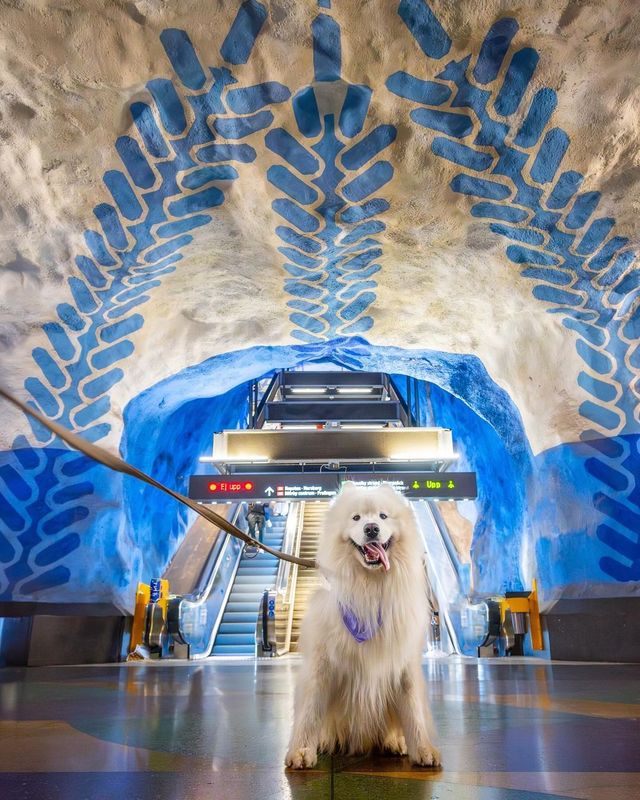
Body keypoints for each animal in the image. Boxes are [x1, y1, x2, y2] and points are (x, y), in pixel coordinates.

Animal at [284, 482, 440, 768]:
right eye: (356, 518)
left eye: (383, 516)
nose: (371, 529)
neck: (369, 587)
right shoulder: (321, 664)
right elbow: (311, 710)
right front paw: (302, 751)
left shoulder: (404, 663)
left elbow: (413, 709)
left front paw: (423, 749)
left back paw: (396, 743)